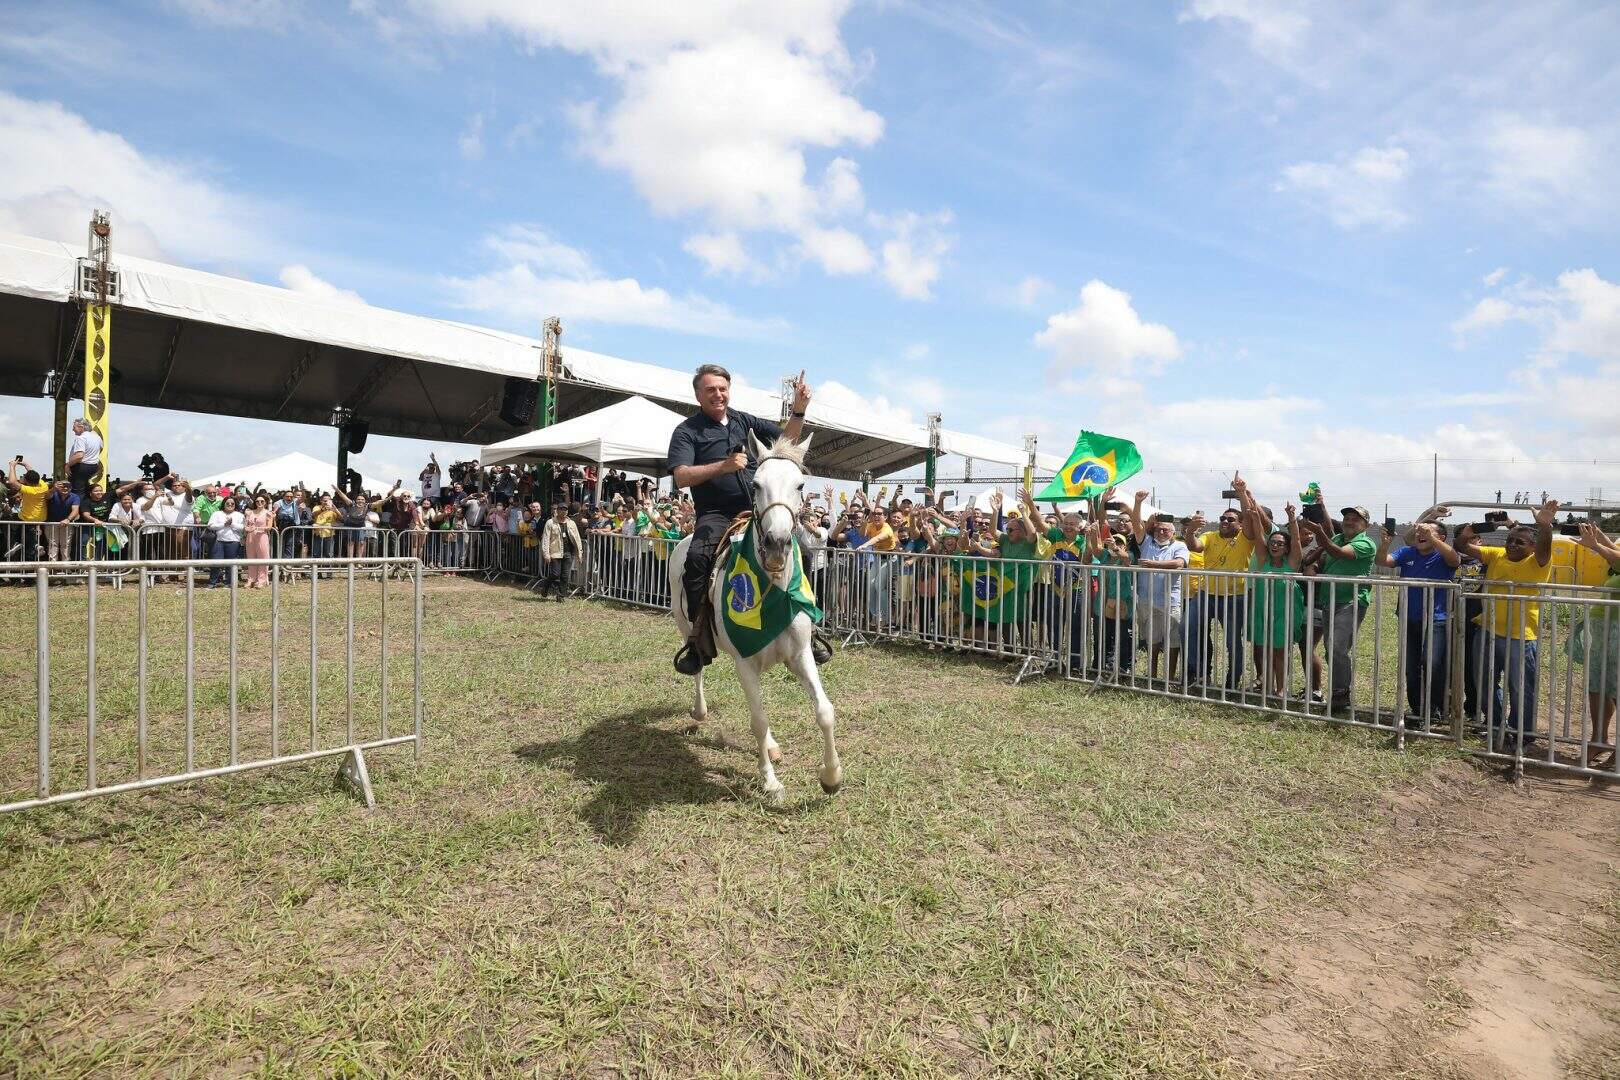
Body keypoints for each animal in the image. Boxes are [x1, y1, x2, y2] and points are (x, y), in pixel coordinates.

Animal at [670, 430, 848, 803]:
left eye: (800, 485)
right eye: (755, 484)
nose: (777, 543)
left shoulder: (800, 654)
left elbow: (824, 711)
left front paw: (831, 776)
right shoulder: (745, 662)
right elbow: (759, 720)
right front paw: (770, 782)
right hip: (684, 626)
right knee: (698, 668)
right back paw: (699, 709)